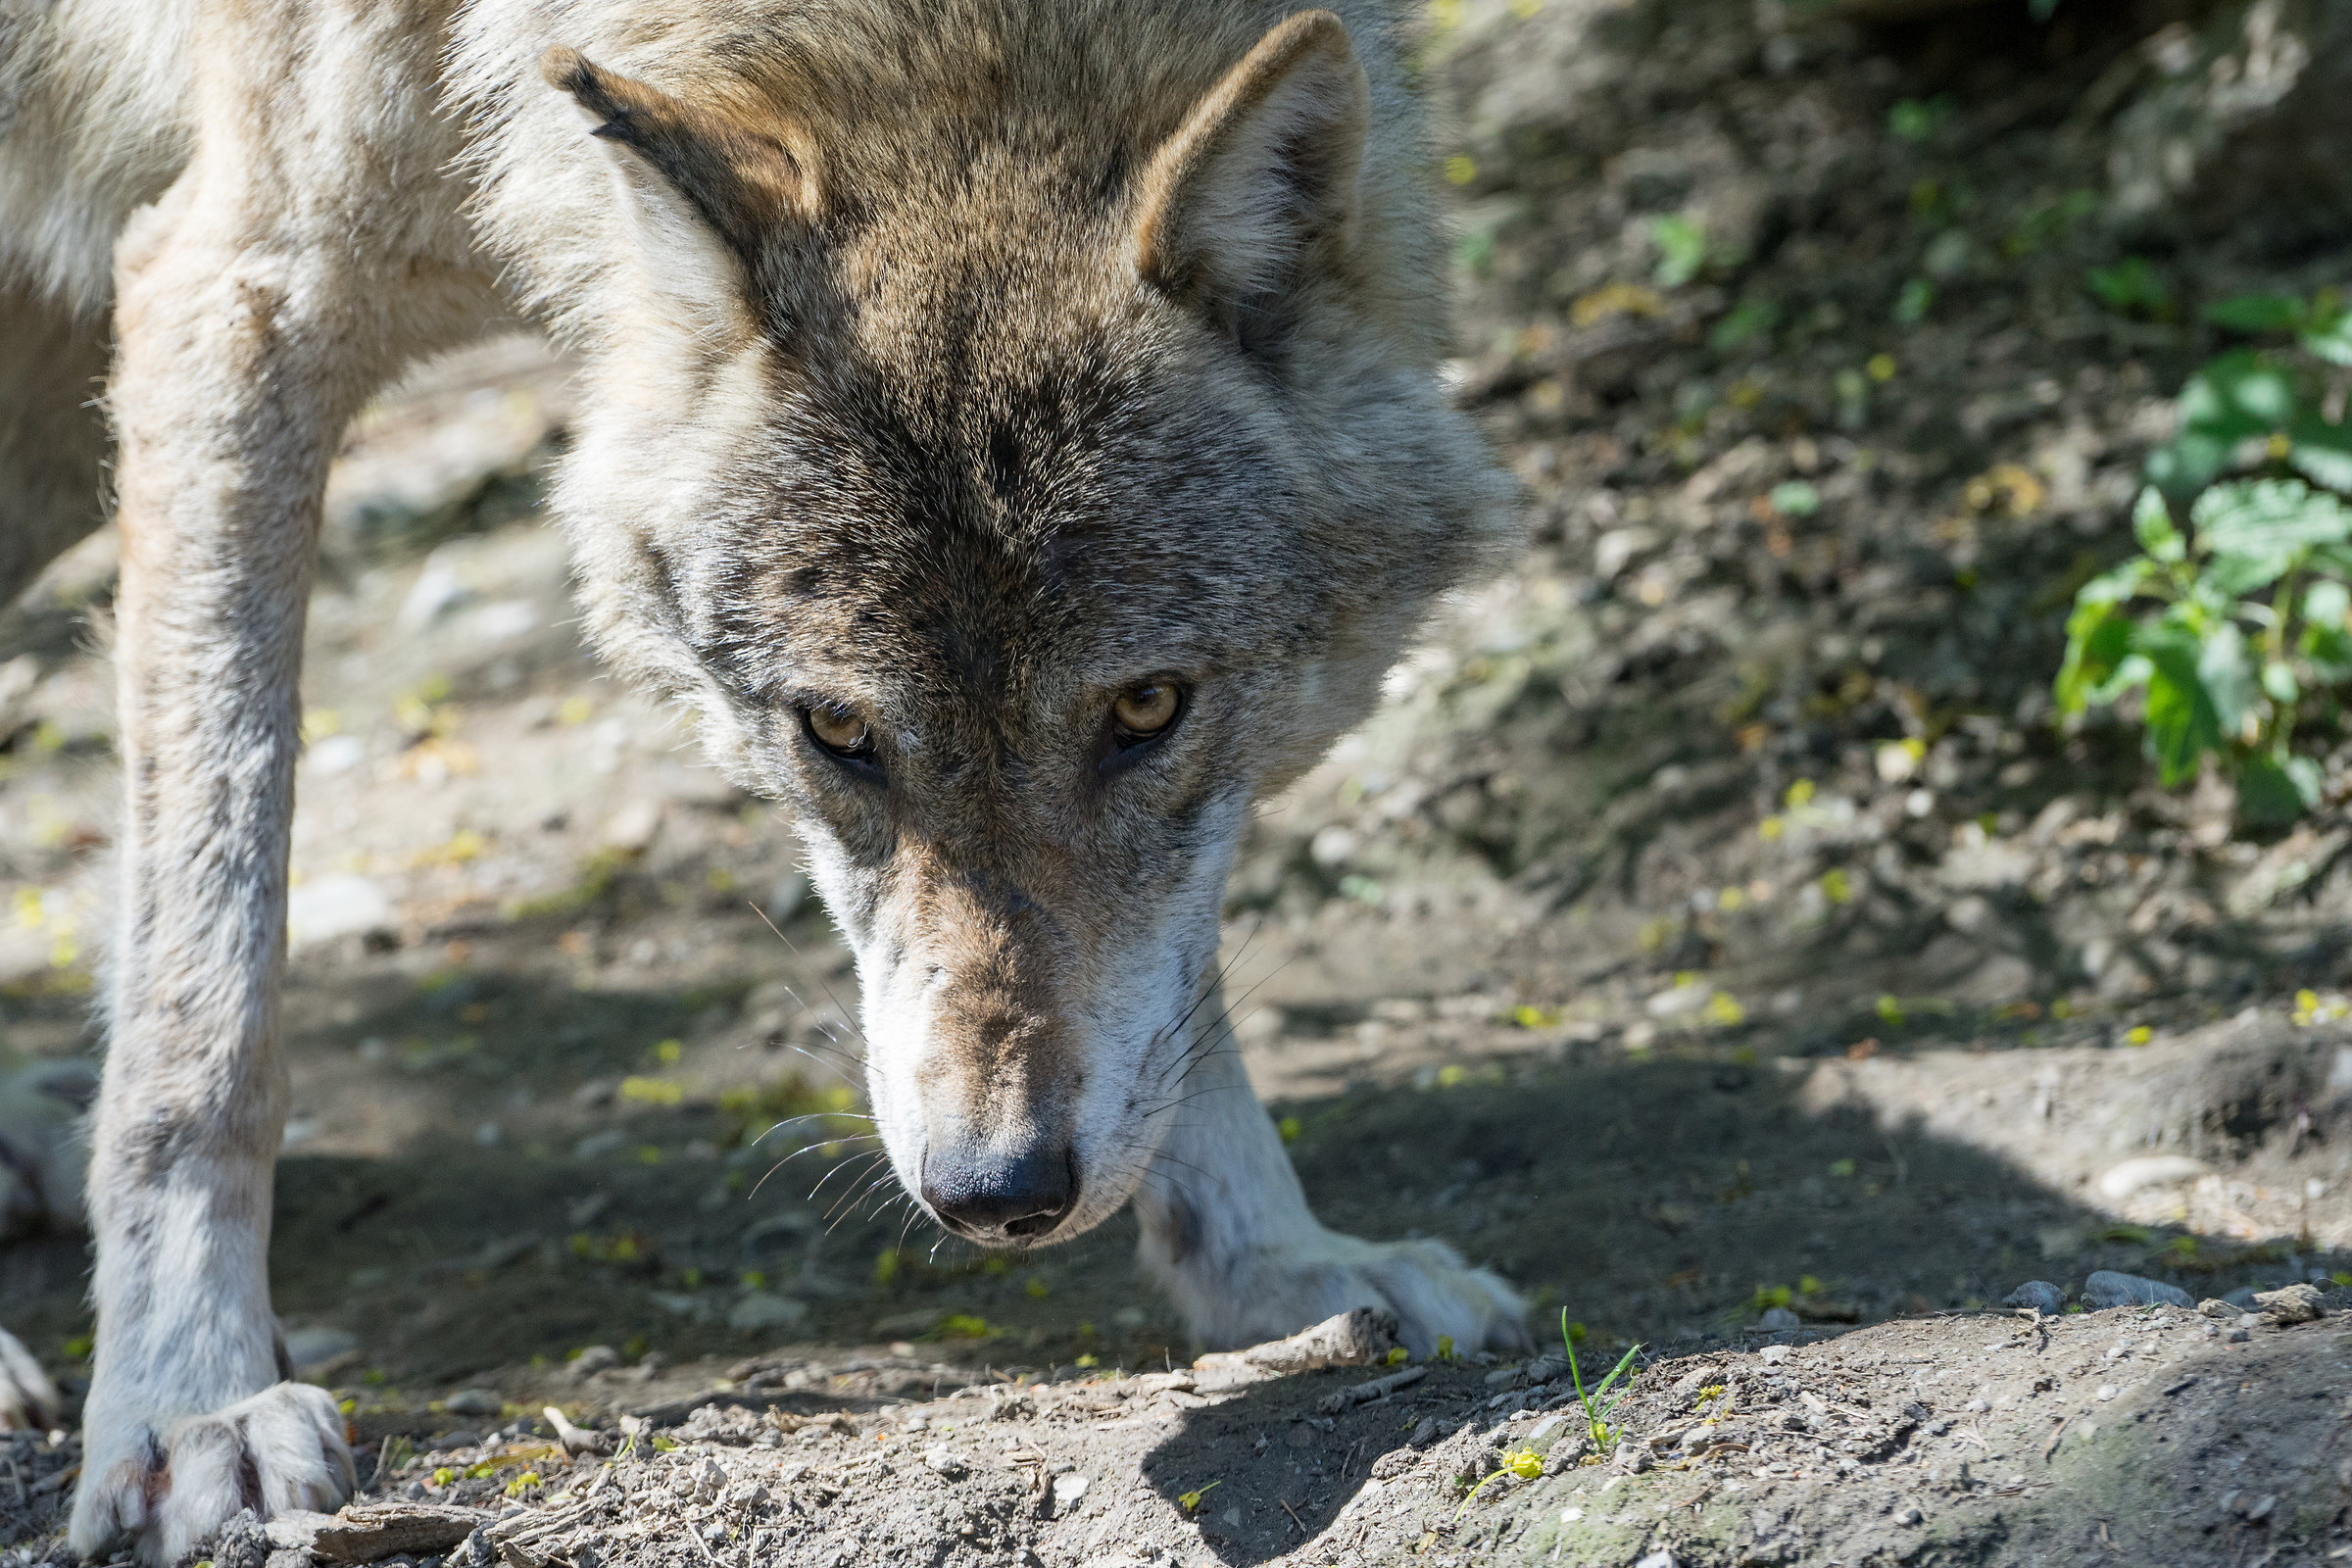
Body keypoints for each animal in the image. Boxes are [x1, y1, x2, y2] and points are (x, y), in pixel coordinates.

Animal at [0, 0, 1521, 1557]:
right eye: (837, 728)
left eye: (1146, 710)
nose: (997, 1192)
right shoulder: (232, 295)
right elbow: (206, 1005)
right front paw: (191, 1403)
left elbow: (1170, 998)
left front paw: (1277, 1263)